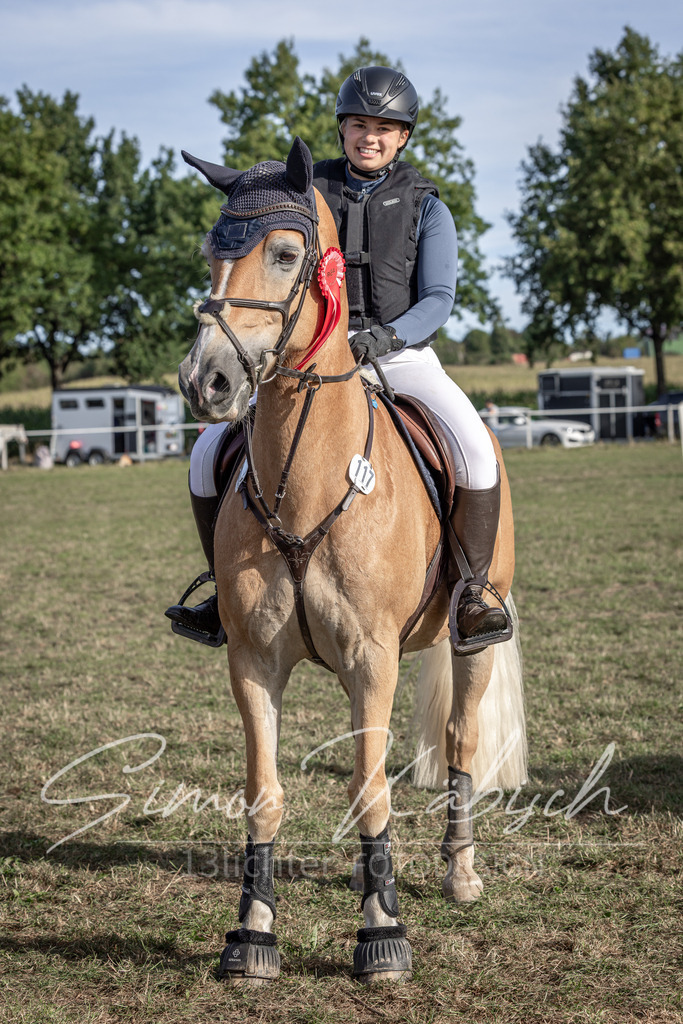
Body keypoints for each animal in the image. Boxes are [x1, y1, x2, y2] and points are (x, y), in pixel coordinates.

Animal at [177, 137, 527, 985]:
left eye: (284, 253)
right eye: (210, 252)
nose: (205, 381)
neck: (309, 481)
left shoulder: (372, 659)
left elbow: (371, 792)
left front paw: (381, 934)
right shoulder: (253, 661)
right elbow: (264, 793)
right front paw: (253, 934)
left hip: (474, 634)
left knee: (461, 741)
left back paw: (459, 872)